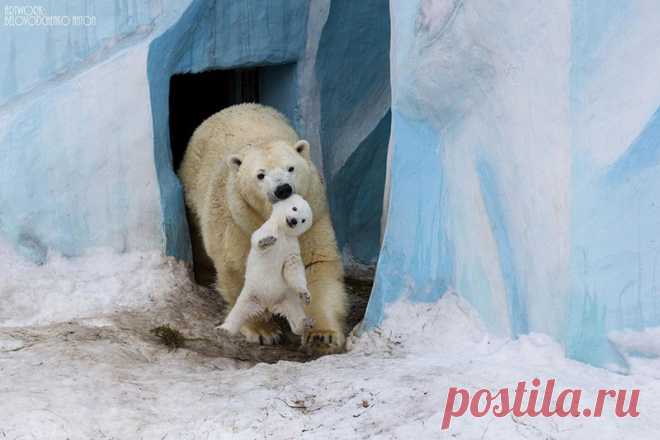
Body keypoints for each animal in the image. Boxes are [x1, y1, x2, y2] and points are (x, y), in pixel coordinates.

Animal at [218, 195, 316, 336]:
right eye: (294, 208)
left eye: (303, 220)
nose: (293, 221)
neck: (283, 232)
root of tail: (268, 305)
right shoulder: (268, 228)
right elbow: (258, 239)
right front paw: (267, 241)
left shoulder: (291, 246)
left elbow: (292, 267)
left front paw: (305, 295)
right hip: (251, 295)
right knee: (238, 312)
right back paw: (224, 329)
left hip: (286, 299)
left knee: (295, 314)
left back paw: (305, 324)